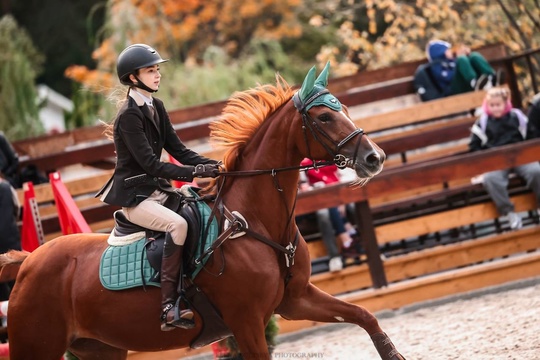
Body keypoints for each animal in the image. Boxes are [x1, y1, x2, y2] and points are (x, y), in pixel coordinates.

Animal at [1, 63, 404, 358]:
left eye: (344, 110)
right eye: (323, 118)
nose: (375, 158)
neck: (255, 223)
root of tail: (28, 262)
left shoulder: (296, 299)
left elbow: (363, 315)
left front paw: (391, 352)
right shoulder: (246, 322)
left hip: (99, 348)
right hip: (36, 346)